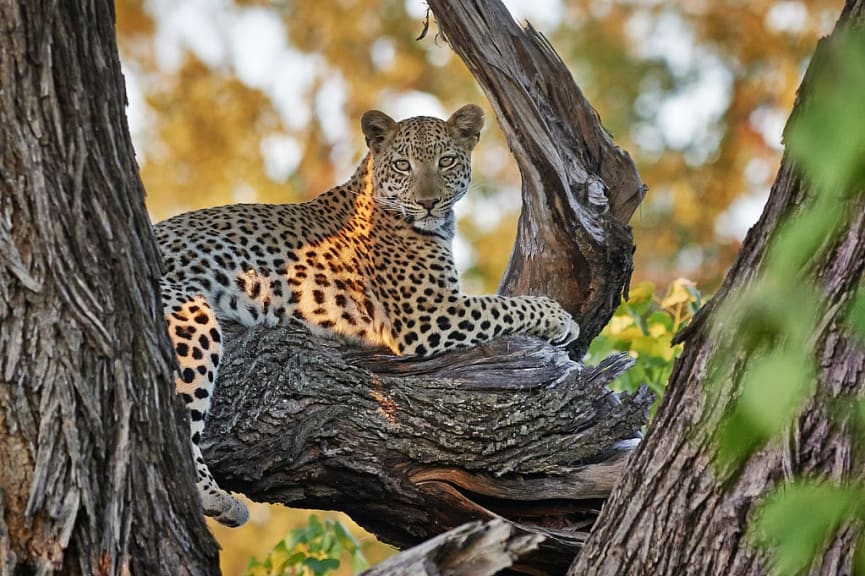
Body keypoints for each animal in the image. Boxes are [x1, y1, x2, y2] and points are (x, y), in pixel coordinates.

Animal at [155, 103, 580, 528]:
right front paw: (560, 318)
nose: (428, 202)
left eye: (445, 161)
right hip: (188, 310)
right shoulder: (429, 313)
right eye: (404, 165)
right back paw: (215, 498)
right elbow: (503, 304)